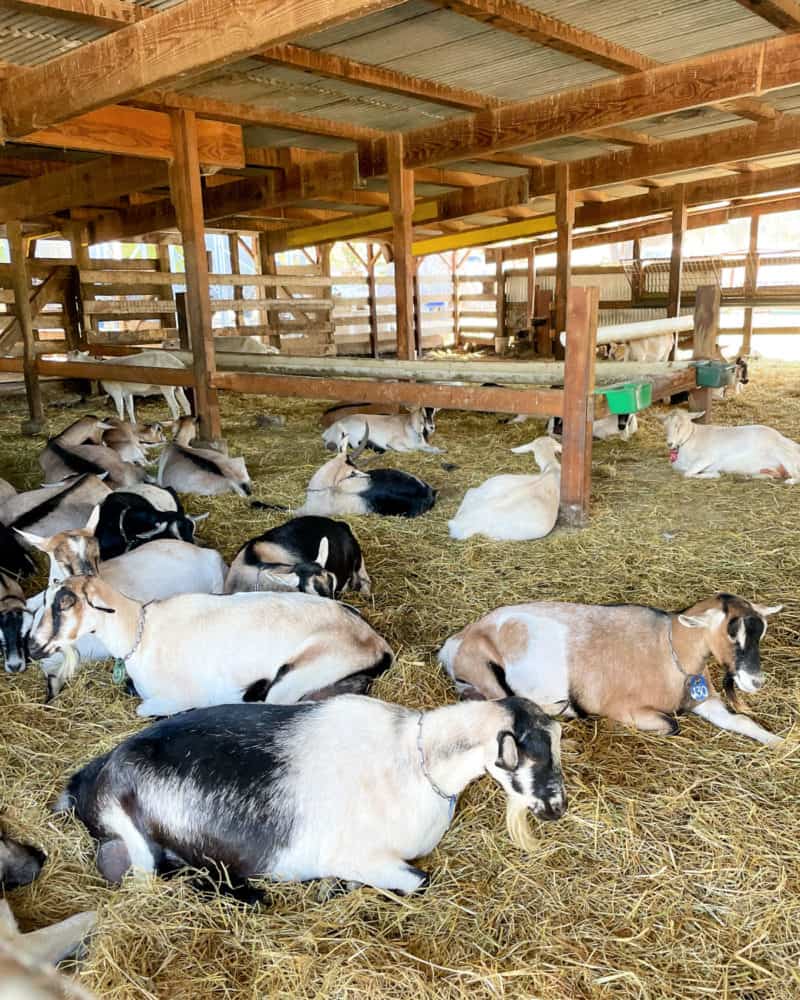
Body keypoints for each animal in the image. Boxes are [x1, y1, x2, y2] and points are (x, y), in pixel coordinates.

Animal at [30, 576, 394, 716]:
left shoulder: (179, 696)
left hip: (297, 677)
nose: (32, 646)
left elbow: (143, 709)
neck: (141, 631)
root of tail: (377, 644)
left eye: (65, 603)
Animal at [56, 692, 564, 904]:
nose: (557, 807)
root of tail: (94, 780)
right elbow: (420, 882)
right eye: (524, 755)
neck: (417, 761)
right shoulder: (361, 856)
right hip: (142, 847)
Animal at [438, 592, 780, 744]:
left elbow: (740, 721)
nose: (756, 681)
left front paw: (778, 742)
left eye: (761, 632)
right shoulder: (624, 708)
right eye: (731, 634)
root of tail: (453, 643)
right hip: (485, 671)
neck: (666, 649)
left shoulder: (703, 700)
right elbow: (672, 725)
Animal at [656, 408, 800, 482]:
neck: (691, 438)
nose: (670, 443)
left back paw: (789, 481)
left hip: (783, 454)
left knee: (797, 476)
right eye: (665, 425)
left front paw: (713, 474)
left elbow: (687, 473)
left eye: (681, 425)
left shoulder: (708, 457)